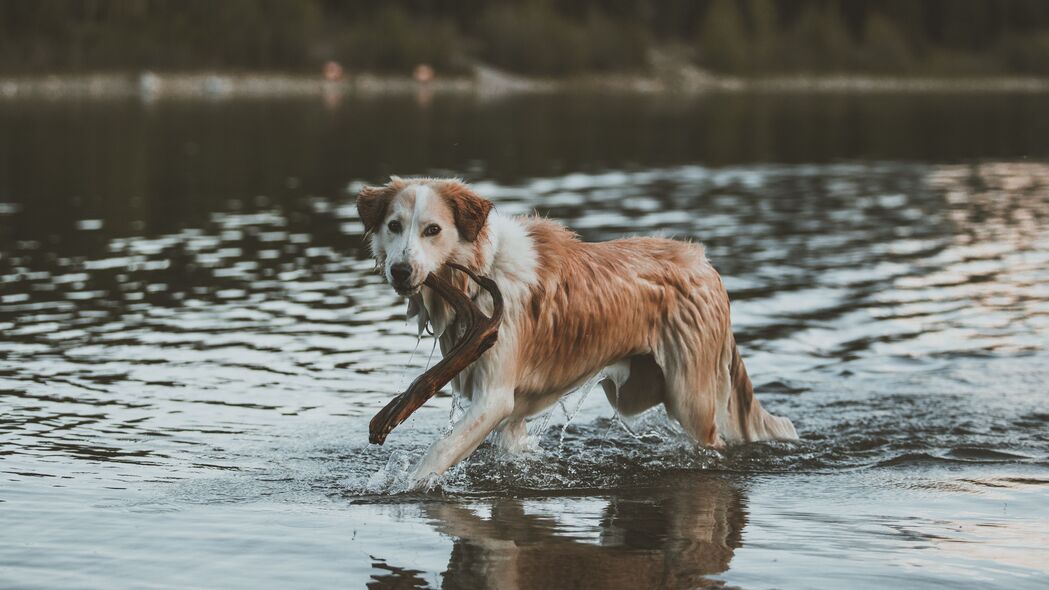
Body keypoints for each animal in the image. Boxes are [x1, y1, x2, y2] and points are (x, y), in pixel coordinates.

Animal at [356, 176, 797, 485]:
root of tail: (704, 263)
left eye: (432, 230)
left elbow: (438, 452)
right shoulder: (511, 415)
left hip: (692, 398)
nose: (400, 270)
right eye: (394, 226)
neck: (481, 271)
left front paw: (402, 485)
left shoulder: (494, 397)